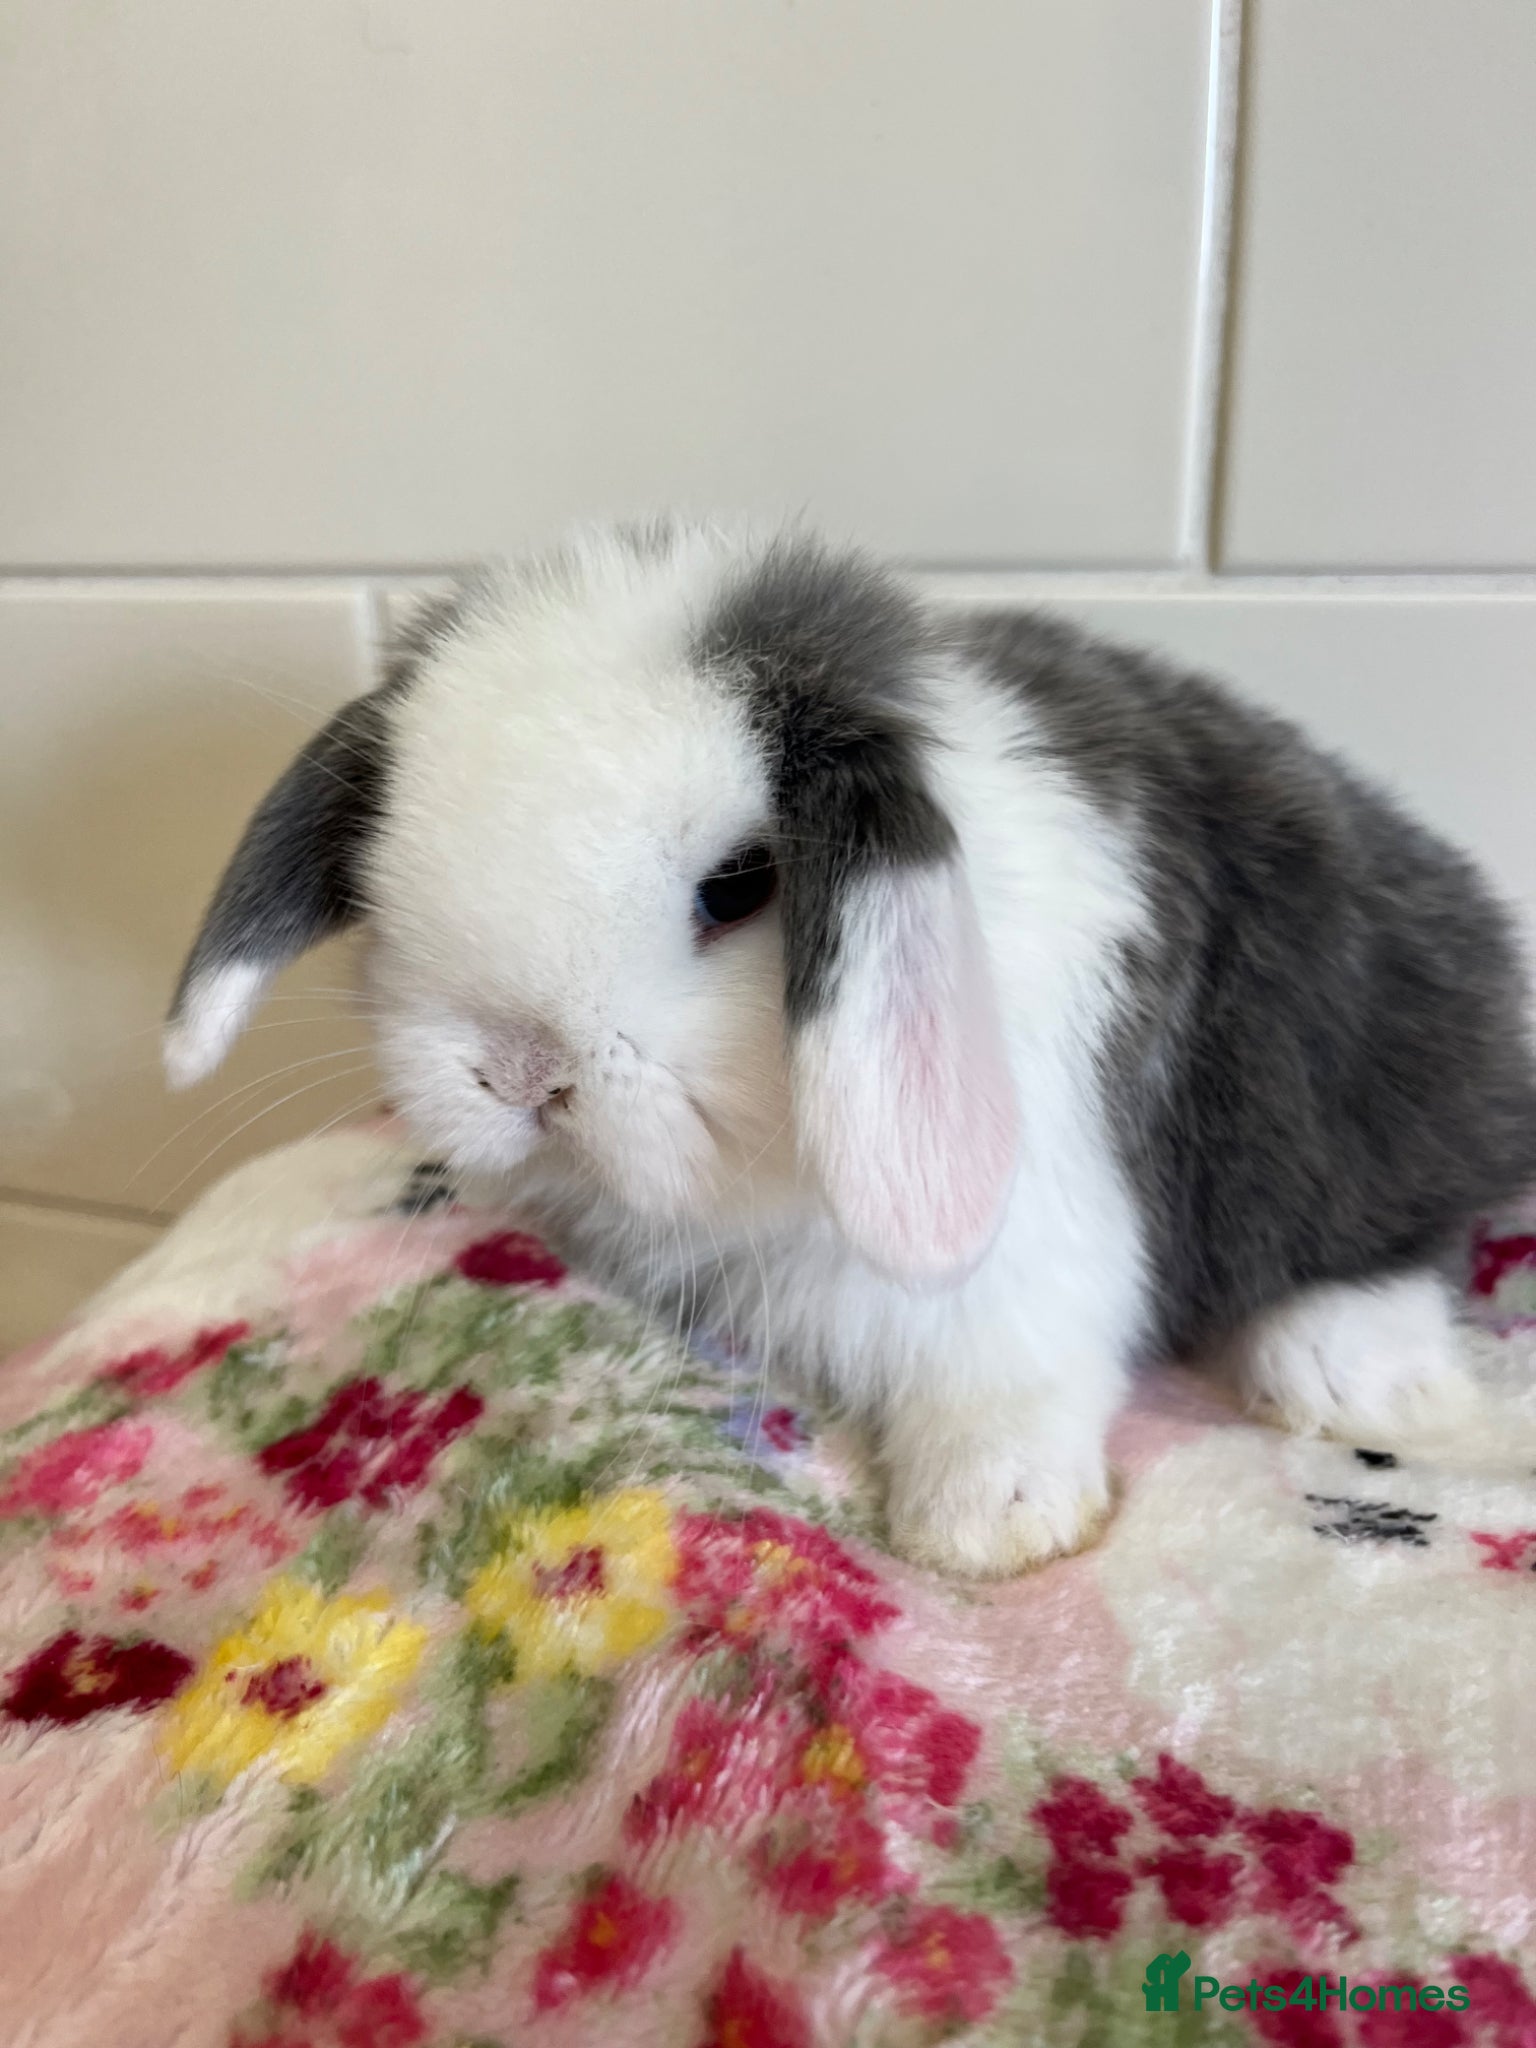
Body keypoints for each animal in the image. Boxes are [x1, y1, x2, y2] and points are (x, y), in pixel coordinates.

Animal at [165, 521, 1536, 1576]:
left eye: (739, 883)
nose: (519, 1072)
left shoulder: (1033, 1242)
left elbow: (1005, 1377)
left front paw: (988, 1523)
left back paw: (1349, 1376)